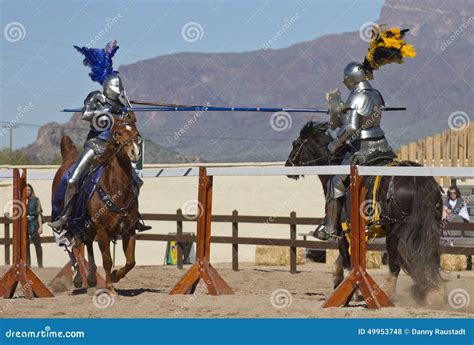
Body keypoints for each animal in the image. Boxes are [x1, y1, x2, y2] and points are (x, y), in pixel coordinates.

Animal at [51, 116, 142, 292]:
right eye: (118, 133)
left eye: (136, 132)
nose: (135, 152)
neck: (116, 190)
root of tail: (68, 159)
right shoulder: (102, 231)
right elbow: (107, 261)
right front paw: (110, 287)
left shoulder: (129, 230)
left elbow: (131, 261)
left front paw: (115, 276)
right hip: (69, 223)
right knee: (70, 246)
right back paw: (78, 278)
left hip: (86, 226)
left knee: (86, 244)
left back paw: (91, 277)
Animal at [286, 121, 446, 304]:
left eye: (296, 143)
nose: (288, 165)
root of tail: (417, 180)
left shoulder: (343, 230)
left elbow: (347, 260)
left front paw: (352, 292)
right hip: (429, 227)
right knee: (430, 256)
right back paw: (434, 293)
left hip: (396, 230)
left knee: (396, 261)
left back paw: (389, 294)